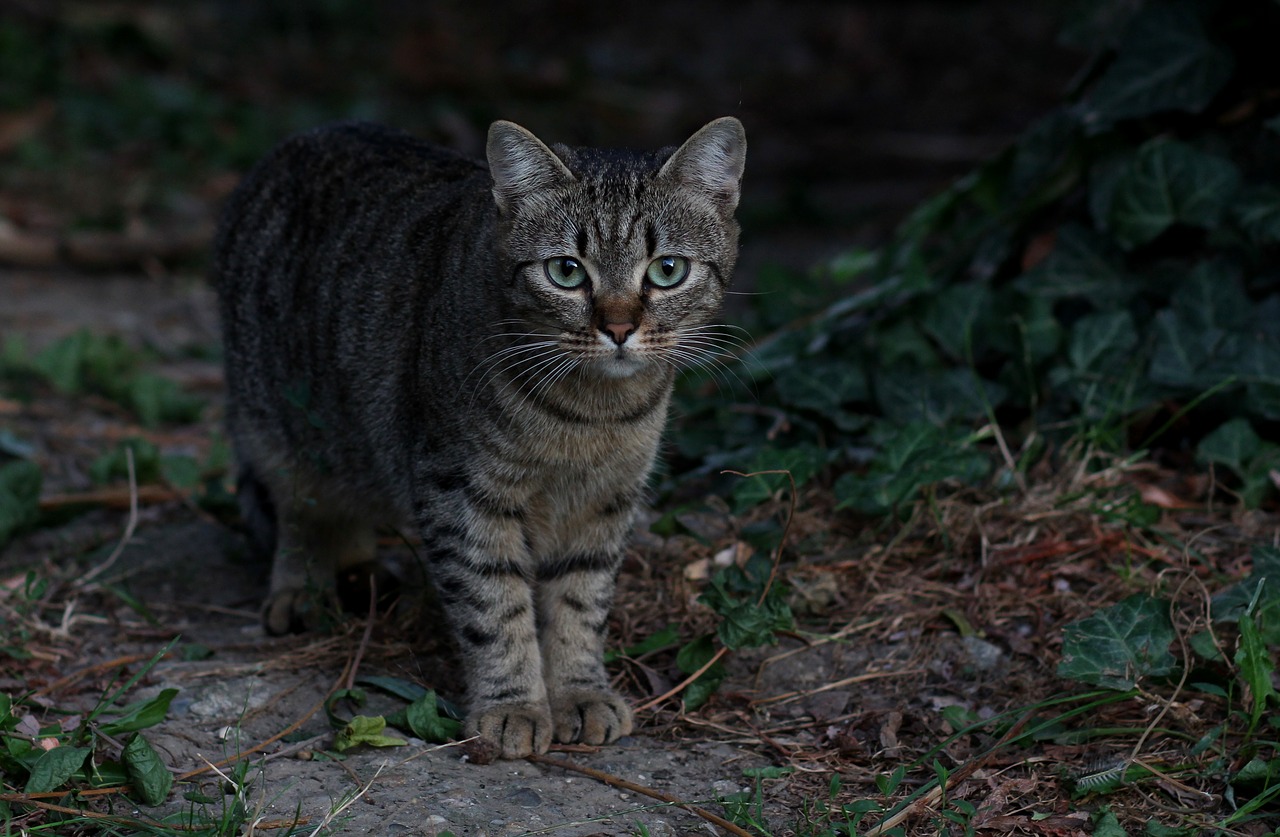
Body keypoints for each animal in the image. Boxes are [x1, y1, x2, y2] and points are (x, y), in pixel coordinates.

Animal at [213, 116, 747, 762]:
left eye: (668, 270)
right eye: (566, 271)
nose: (619, 328)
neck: (590, 417)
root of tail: (310, 135)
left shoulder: (607, 499)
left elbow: (581, 602)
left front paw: (580, 692)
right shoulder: (461, 493)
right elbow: (494, 605)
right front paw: (514, 704)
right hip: (276, 422)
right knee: (300, 509)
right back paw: (303, 588)